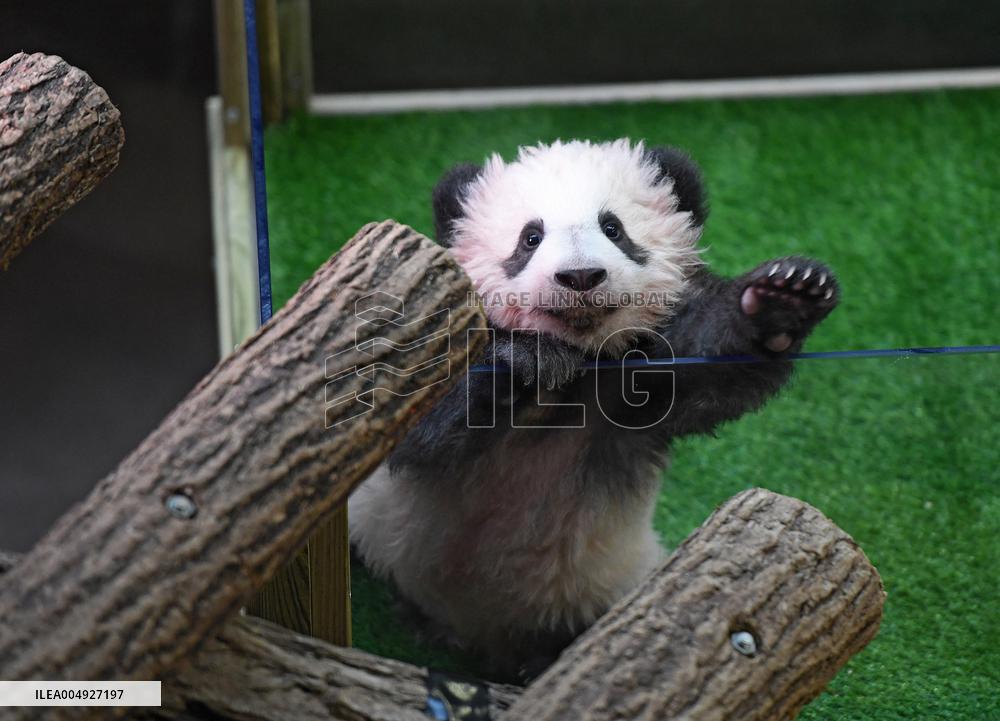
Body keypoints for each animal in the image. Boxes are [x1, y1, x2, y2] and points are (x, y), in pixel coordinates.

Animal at [349, 139, 839, 679]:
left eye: (613, 229)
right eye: (530, 237)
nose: (580, 276)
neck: (578, 363)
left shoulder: (637, 382)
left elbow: (715, 367)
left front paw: (783, 301)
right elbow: (413, 424)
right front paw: (524, 358)